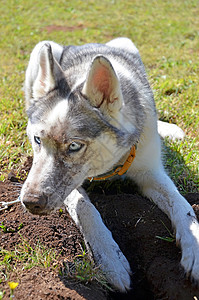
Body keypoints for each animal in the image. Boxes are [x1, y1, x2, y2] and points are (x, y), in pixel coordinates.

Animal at [20, 37, 199, 290]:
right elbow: (86, 210)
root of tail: (88, 44)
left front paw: (195, 248)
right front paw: (110, 258)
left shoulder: (151, 173)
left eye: (74, 146)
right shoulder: (70, 186)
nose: (30, 202)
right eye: (37, 140)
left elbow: (183, 206)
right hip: (42, 47)